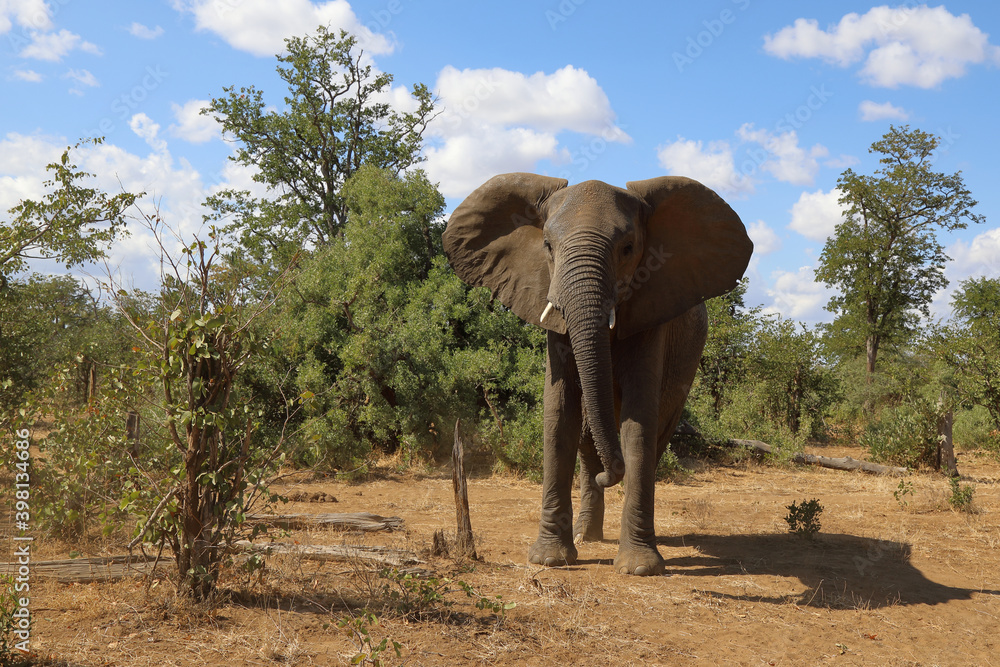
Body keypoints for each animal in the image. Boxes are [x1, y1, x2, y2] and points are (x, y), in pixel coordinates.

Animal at [442, 173, 752, 575]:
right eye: (547, 246)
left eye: (628, 248)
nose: (611, 473)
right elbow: (560, 414)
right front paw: (549, 560)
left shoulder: (652, 311)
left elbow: (639, 422)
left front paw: (639, 568)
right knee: (589, 440)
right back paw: (586, 535)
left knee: (656, 437)